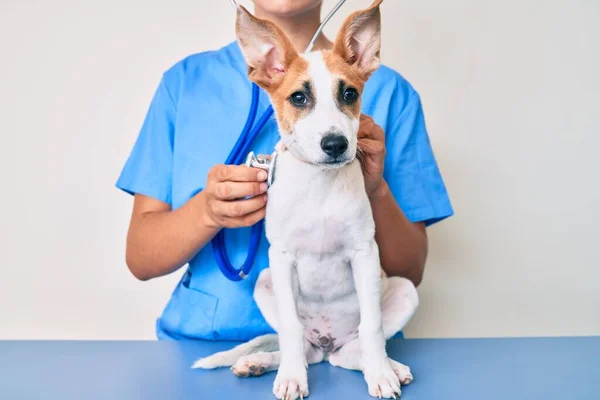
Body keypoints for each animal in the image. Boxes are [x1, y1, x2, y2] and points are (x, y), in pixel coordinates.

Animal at [192, 1, 418, 398]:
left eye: (350, 94)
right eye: (299, 98)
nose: (335, 145)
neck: (320, 185)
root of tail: (328, 343)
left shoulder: (365, 253)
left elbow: (372, 326)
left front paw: (381, 374)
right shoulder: (281, 259)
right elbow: (291, 328)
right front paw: (292, 378)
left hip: (404, 290)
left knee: (351, 352)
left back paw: (389, 367)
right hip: (264, 281)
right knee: (303, 348)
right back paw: (262, 362)